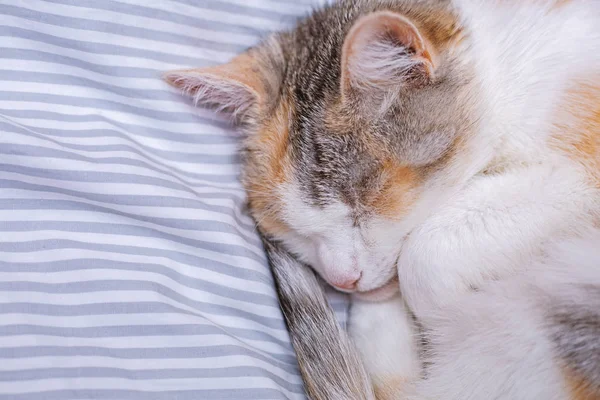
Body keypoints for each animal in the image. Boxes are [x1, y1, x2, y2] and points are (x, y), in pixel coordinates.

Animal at [164, 0, 600, 398]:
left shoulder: (582, 175)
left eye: (363, 203)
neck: (510, 67)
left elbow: (427, 252)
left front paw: (450, 315)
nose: (342, 279)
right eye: (290, 228)